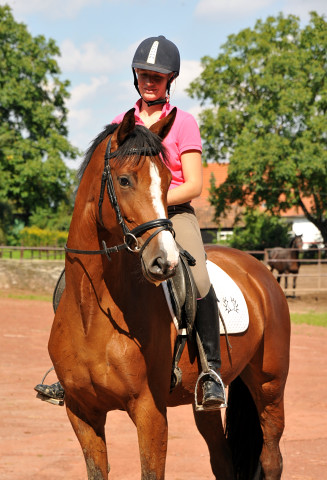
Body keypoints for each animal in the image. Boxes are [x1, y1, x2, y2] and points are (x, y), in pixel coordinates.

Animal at [48, 109, 290, 480]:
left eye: (166, 181)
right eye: (124, 180)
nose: (165, 262)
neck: (93, 312)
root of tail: (259, 270)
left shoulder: (150, 411)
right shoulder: (82, 412)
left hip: (270, 387)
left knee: (272, 458)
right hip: (207, 404)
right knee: (223, 461)